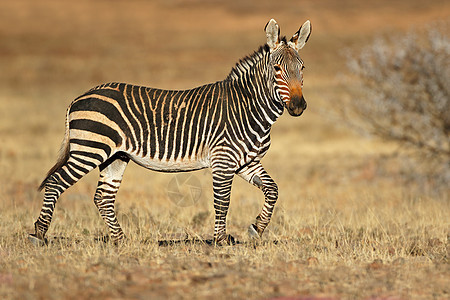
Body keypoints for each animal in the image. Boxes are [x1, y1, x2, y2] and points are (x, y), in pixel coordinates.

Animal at [29, 18, 312, 246]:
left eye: (302, 67)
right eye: (277, 69)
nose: (298, 106)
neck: (248, 107)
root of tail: (79, 98)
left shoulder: (246, 162)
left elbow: (273, 190)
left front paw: (256, 229)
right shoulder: (223, 161)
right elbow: (222, 201)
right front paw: (221, 241)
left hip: (114, 156)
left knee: (103, 198)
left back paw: (121, 241)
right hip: (89, 150)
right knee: (55, 183)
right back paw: (39, 235)